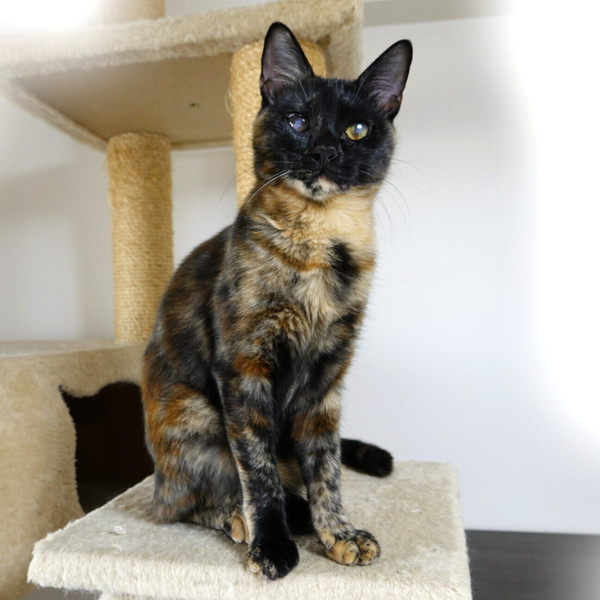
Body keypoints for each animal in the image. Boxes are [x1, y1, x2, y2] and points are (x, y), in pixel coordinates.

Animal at [141, 22, 412, 580]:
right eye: (298, 120)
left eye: (356, 130)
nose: (325, 151)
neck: (321, 244)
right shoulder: (245, 369)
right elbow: (257, 470)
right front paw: (271, 544)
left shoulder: (326, 379)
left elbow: (326, 466)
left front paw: (338, 534)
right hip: (195, 414)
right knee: (183, 501)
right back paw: (244, 520)